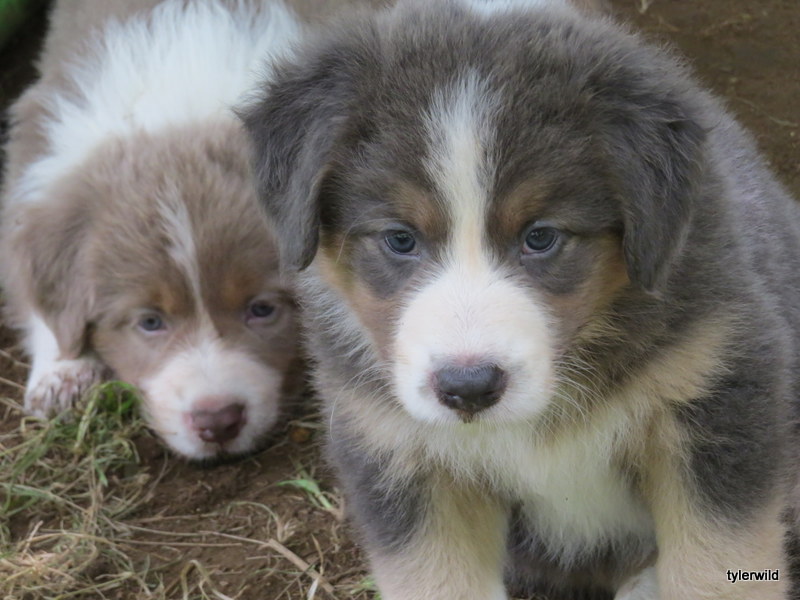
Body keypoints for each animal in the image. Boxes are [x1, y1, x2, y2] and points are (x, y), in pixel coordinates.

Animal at [242, 0, 800, 597]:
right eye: (399, 238)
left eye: (540, 236)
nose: (468, 388)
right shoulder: (401, 454)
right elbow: (439, 579)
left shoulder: (715, 395)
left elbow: (715, 568)